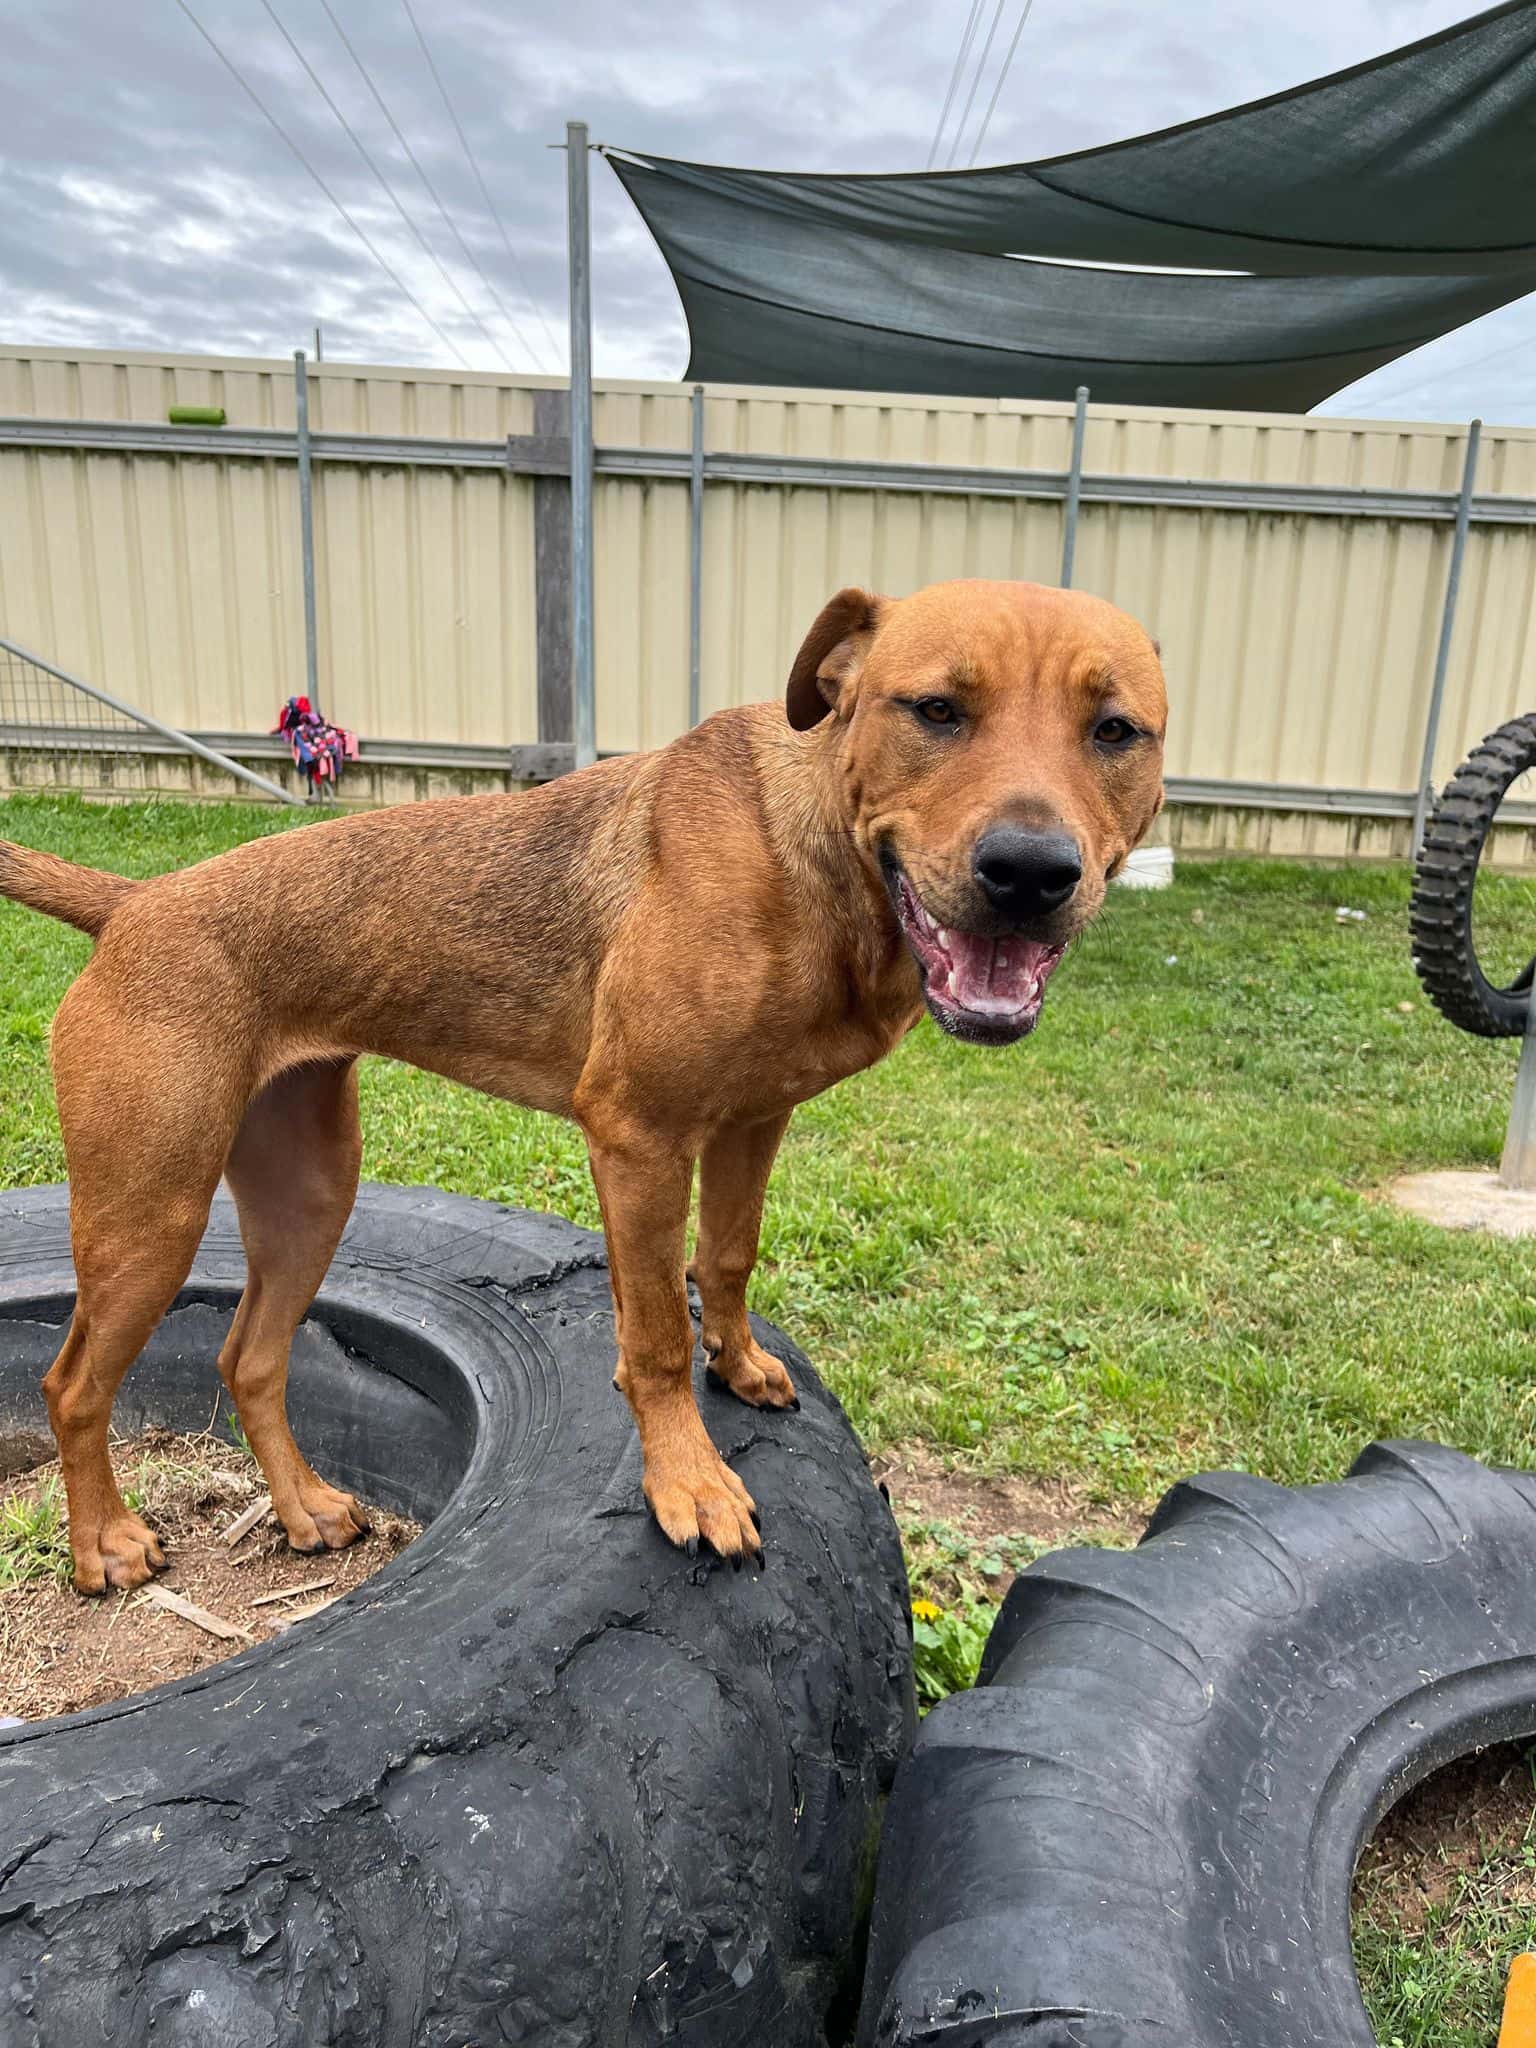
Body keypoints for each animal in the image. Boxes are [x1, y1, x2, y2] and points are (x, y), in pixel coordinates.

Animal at [0, 577, 1163, 1581]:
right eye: (934, 709)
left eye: (1116, 730)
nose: (1029, 874)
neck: (810, 851)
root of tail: (134, 905)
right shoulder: (639, 1137)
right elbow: (652, 1334)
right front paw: (689, 1481)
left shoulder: (753, 1121)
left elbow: (727, 1259)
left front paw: (737, 1361)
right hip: (151, 1213)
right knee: (72, 1383)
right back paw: (105, 1545)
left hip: (309, 1191)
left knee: (248, 1357)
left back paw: (305, 1509)